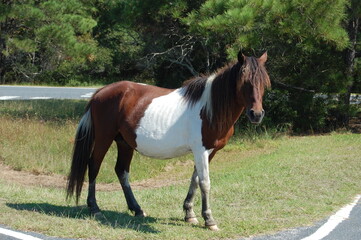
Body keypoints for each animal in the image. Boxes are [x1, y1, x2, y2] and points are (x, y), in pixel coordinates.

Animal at [67, 50, 270, 231]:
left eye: (264, 83)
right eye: (244, 81)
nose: (256, 114)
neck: (210, 109)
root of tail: (100, 92)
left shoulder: (209, 152)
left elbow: (195, 179)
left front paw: (189, 214)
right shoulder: (201, 150)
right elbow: (205, 182)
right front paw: (209, 220)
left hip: (124, 143)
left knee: (121, 171)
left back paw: (137, 209)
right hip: (104, 138)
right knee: (94, 166)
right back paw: (95, 209)